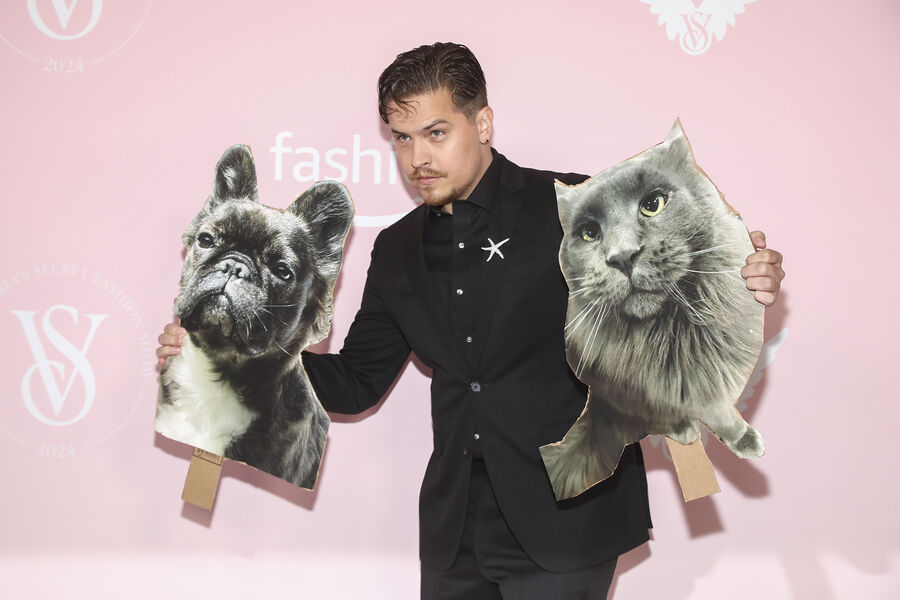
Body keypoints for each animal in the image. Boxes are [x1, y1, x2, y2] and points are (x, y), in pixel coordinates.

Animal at [539, 120, 765, 501]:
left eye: (652, 204)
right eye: (589, 233)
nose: (622, 256)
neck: (672, 339)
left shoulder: (711, 379)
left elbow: (722, 411)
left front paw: (743, 439)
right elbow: (689, 414)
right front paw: (697, 431)